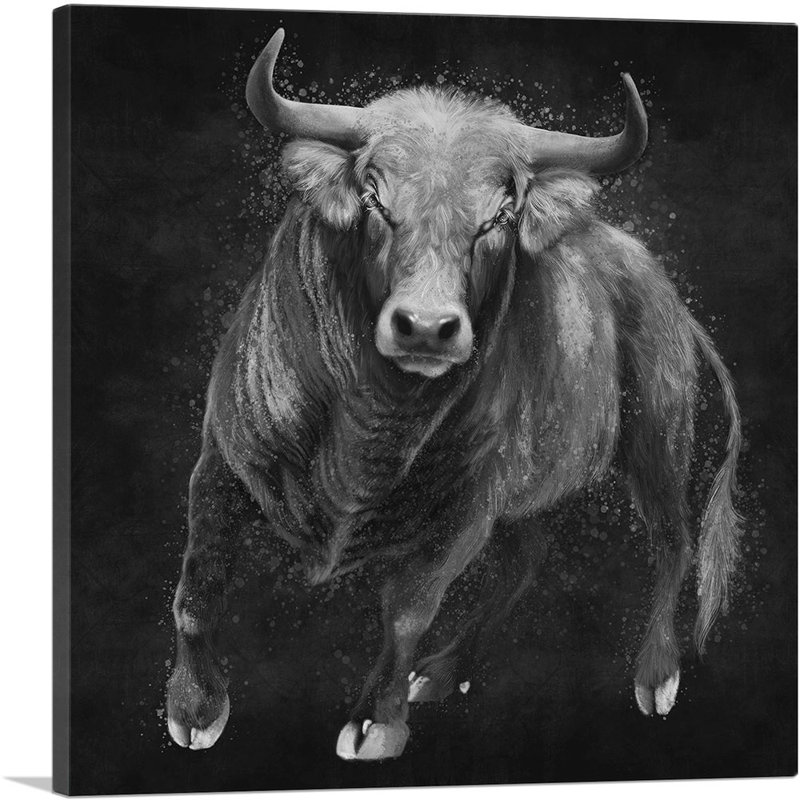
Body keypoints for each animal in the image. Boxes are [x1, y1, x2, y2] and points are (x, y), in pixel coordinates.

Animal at [166, 28, 743, 762]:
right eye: (375, 197)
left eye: (499, 215)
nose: (426, 326)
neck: (368, 424)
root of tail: (660, 289)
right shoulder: (220, 463)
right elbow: (197, 588)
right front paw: (193, 707)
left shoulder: (466, 507)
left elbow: (408, 610)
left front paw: (376, 722)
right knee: (525, 562)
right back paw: (446, 670)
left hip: (658, 444)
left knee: (672, 543)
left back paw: (656, 674)